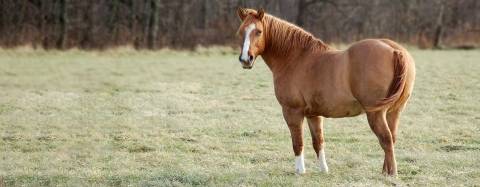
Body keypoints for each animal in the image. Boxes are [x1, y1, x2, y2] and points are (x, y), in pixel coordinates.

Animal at [236, 7, 416, 177]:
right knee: (391, 138)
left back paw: (391, 174)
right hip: (394, 112)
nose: (245, 59)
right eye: (241, 31)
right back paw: (385, 171)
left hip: (376, 113)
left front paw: (300, 171)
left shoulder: (292, 112)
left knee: (386, 139)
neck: (295, 58)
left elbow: (297, 142)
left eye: (259, 31)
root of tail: (395, 50)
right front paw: (324, 170)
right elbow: (318, 142)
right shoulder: (313, 114)